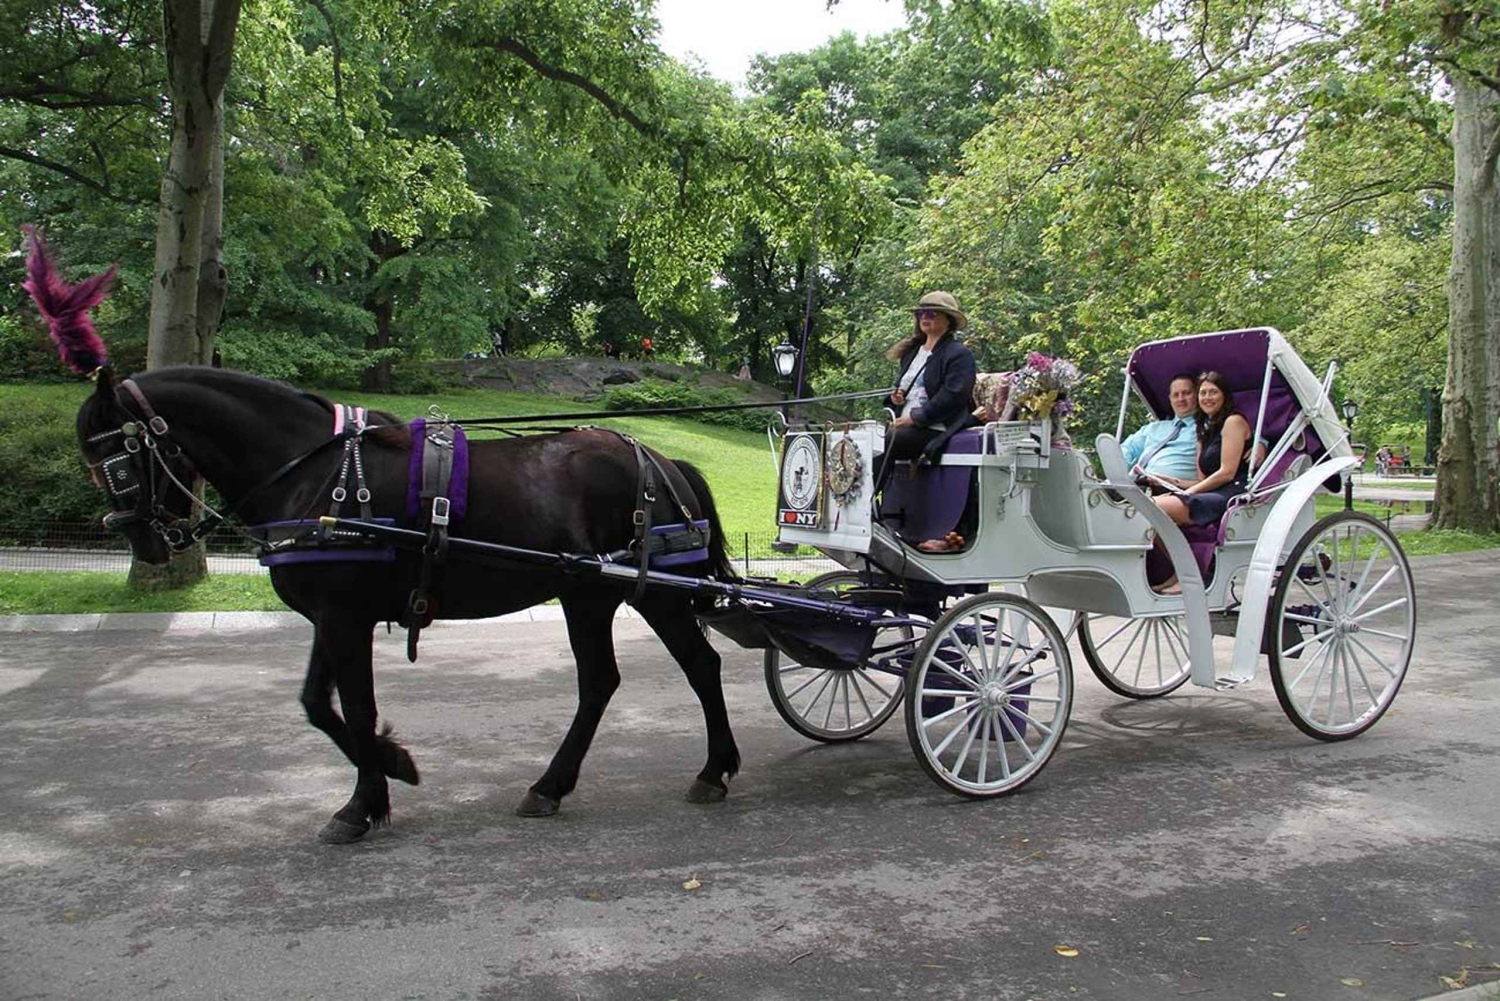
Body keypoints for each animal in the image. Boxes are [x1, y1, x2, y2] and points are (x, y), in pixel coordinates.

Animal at [29, 233, 741, 844]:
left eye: (116, 459)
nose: (146, 541)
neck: (312, 472)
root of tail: (662, 459)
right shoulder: (332, 615)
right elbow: (319, 704)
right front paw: (383, 777)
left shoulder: (346, 615)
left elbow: (355, 708)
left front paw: (370, 792)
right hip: (588, 593)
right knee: (611, 680)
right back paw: (563, 783)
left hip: (645, 592)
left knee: (690, 667)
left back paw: (705, 768)